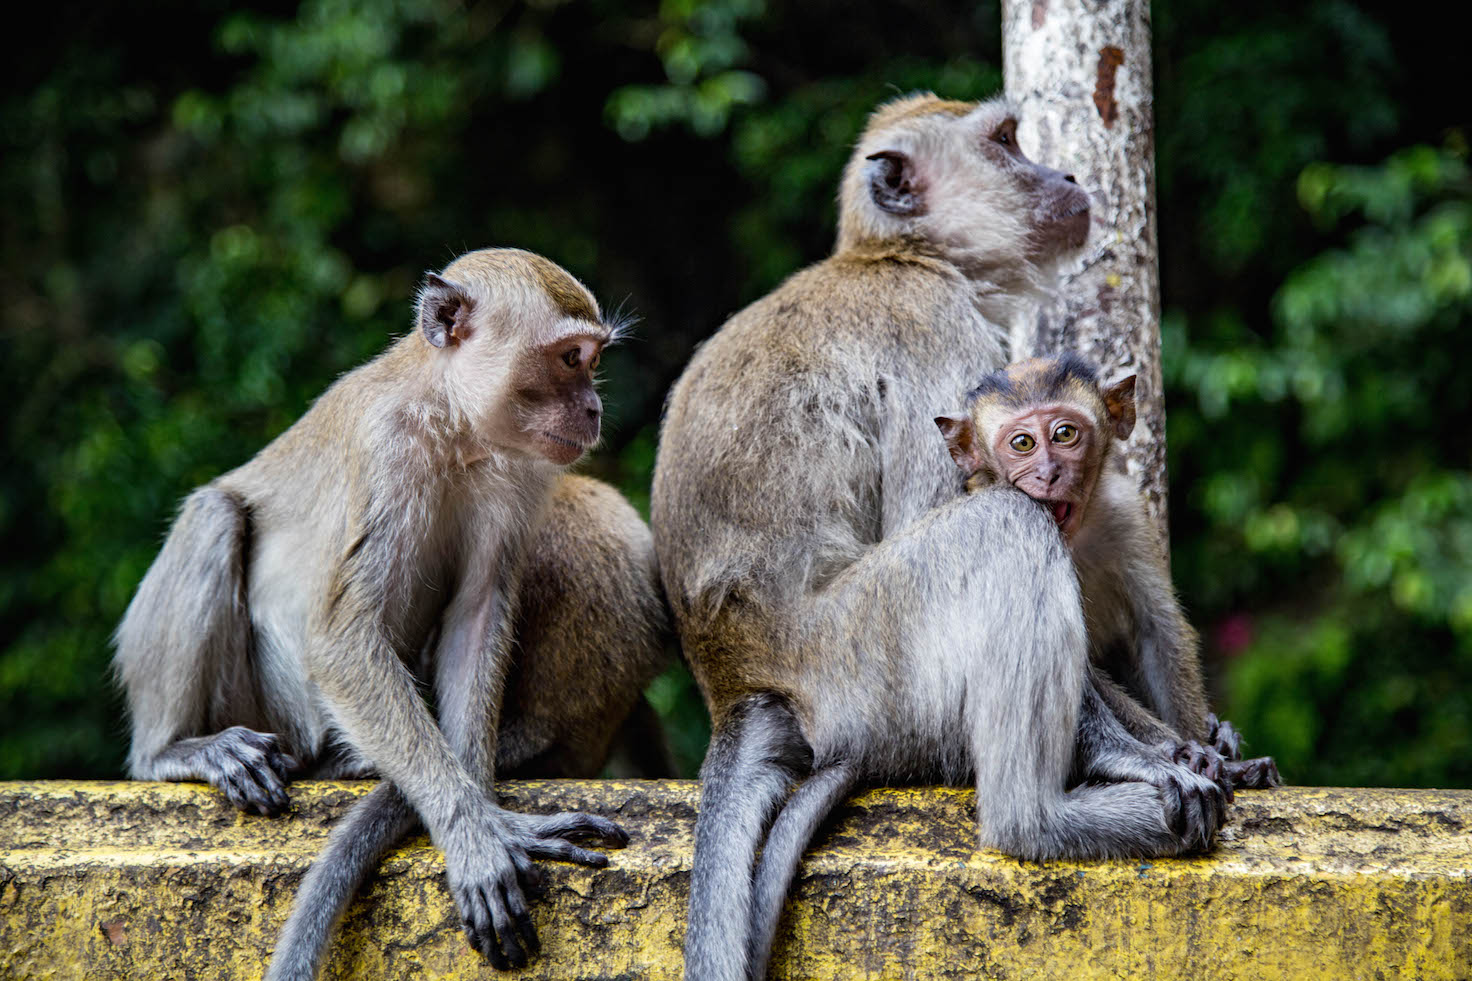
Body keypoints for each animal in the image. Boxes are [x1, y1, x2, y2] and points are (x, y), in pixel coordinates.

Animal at [114, 248, 668, 972]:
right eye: (570, 357)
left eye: (591, 358)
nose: (595, 407)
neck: (449, 420)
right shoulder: (387, 450)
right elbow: (341, 639)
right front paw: (472, 835)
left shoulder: (517, 474)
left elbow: (476, 617)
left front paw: (489, 819)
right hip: (258, 704)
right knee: (215, 514)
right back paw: (175, 750)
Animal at [653, 91, 1230, 978]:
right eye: (1006, 143)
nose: (1065, 176)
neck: (902, 258)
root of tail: (742, 681)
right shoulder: (935, 332)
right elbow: (958, 501)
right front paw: (1159, 753)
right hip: (869, 664)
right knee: (1003, 527)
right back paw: (1041, 819)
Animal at [942, 352, 1277, 789]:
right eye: (1022, 443)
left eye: (1064, 434)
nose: (1048, 473)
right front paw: (1181, 750)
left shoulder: (1124, 511)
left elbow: (1158, 629)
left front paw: (1212, 751)